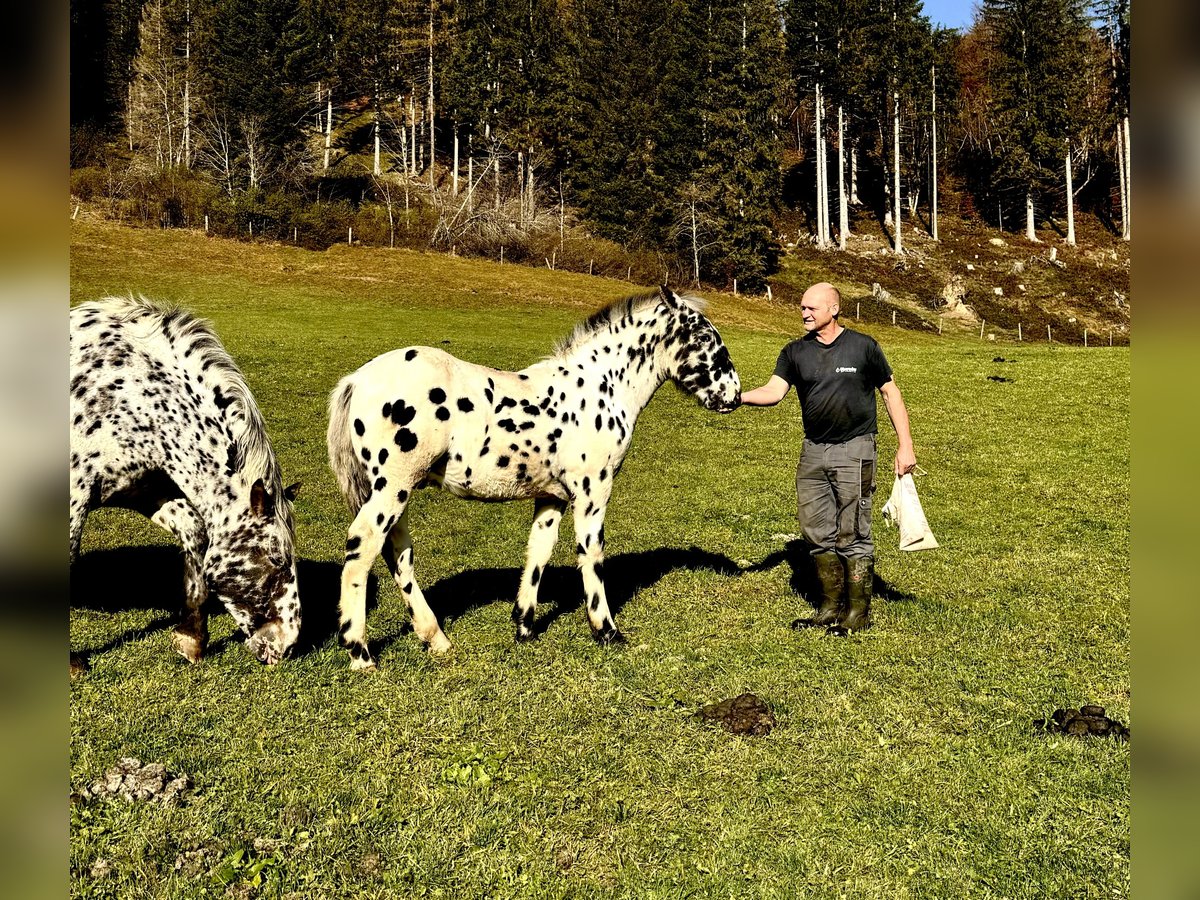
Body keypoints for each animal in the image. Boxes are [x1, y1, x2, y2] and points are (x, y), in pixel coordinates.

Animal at [328, 289, 739, 672]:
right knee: (363, 546)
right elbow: (591, 553)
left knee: (398, 553)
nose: (733, 396)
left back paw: (436, 638)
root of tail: (356, 380)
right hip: (394, 486)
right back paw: (360, 653)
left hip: (393, 490)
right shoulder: (593, 490)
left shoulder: (553, 496)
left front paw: (524, 626)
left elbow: (539, 550)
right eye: (704, 337)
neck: (599, 388)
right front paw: (607, 631)